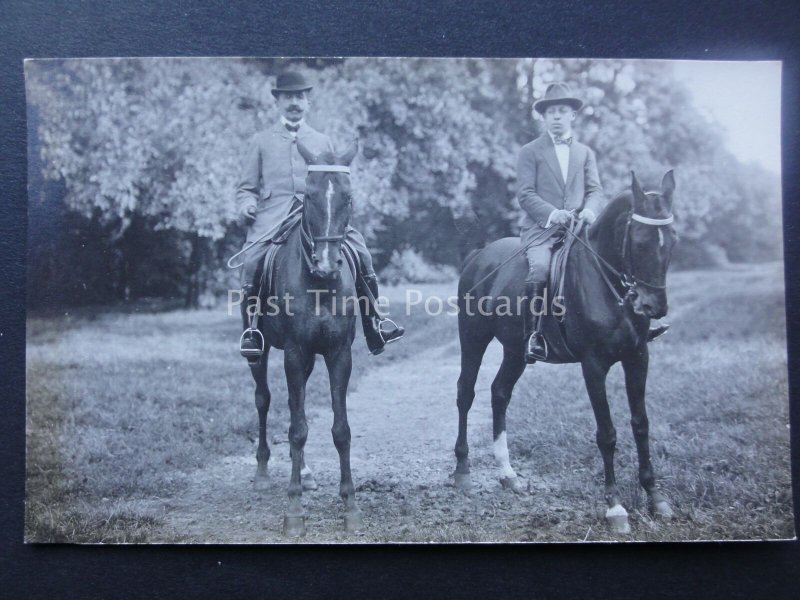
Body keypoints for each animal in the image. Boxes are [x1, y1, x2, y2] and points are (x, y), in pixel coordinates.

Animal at [247, 138, 362, 536]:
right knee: (264, 400)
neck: (319, 286)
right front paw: (294, 509)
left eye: (348, 197)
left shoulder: (338, 354)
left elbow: (340, 429)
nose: (327, 265)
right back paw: (262, 471)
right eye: (309, 196)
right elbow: (297, 429)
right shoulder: (294, 353)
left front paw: (349, 504)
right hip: (262, 351)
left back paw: (307, 473)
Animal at [456, 170, 676, 536]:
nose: (653, 307)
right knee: (465, 394)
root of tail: (479, 254)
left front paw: (655, 498)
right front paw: (615, 507)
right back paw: (462, 470)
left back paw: (508, 474)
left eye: (672, 240)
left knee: (500, 392)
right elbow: (607, 434)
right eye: (641, 242)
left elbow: (641, 424)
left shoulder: (637, 359)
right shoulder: (593, 365)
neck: (609, 288)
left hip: (515, 350)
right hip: (473, 338)